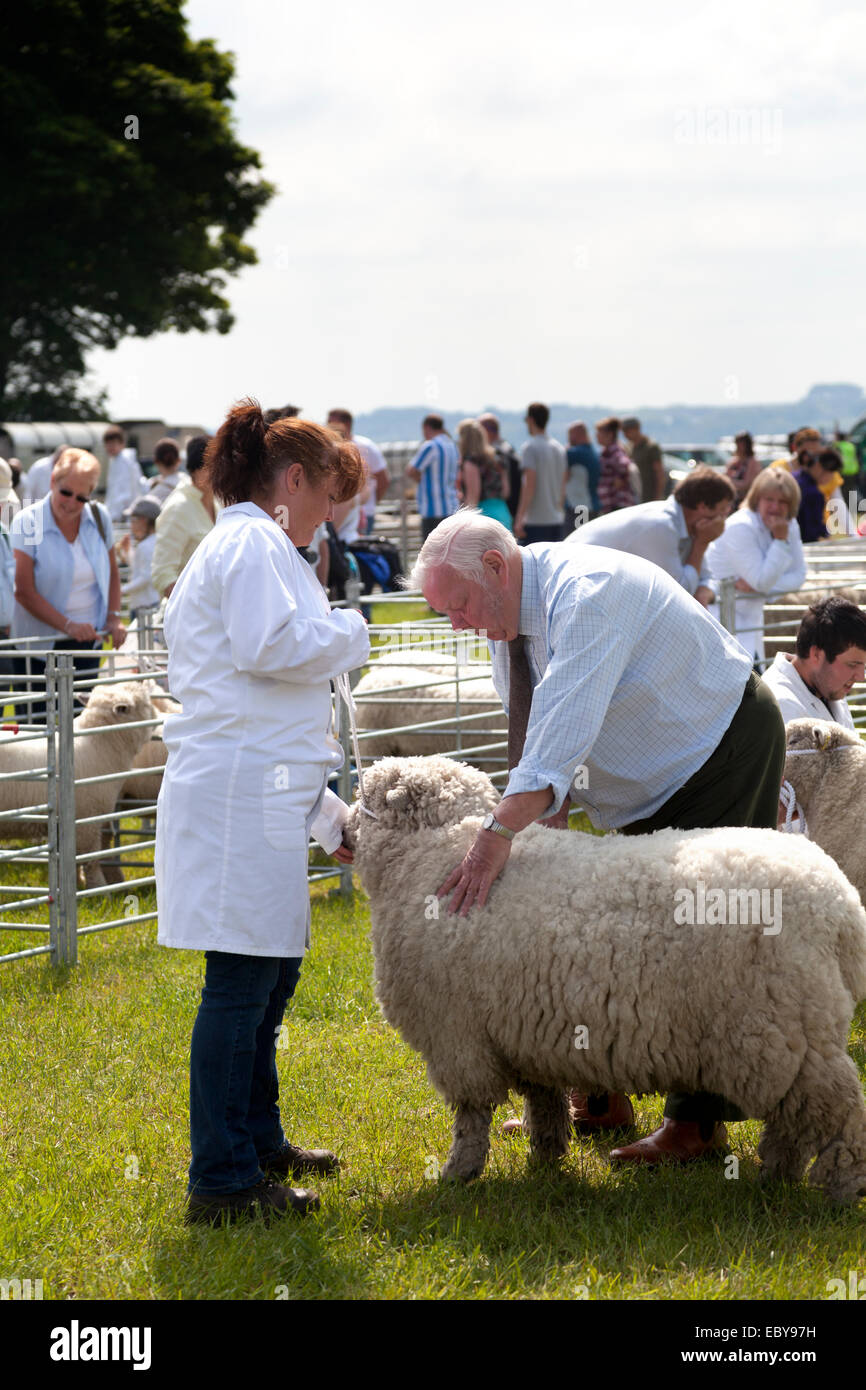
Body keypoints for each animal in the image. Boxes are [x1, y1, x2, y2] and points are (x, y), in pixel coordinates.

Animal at [0, 681, 159, 889]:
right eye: (144, 703)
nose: (157, 720)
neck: (100, 744)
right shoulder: (86, 820)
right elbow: (89, 860)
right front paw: (99, 890)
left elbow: (68, 860)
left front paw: (72, 884)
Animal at [341, 756, 866, 1200]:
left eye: (365, 794)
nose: (342, 830)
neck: (431, 854)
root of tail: (839, 906)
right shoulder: (525, 1031)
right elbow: (544, 1102)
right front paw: (545, 1160)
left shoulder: (457, 1038)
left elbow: (471, 1116)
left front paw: (458, 1173)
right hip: (793, 1034)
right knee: (796, 1121)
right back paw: (776, 1176)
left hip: (782, 1032)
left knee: (840, 1109)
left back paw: (841, 1186)